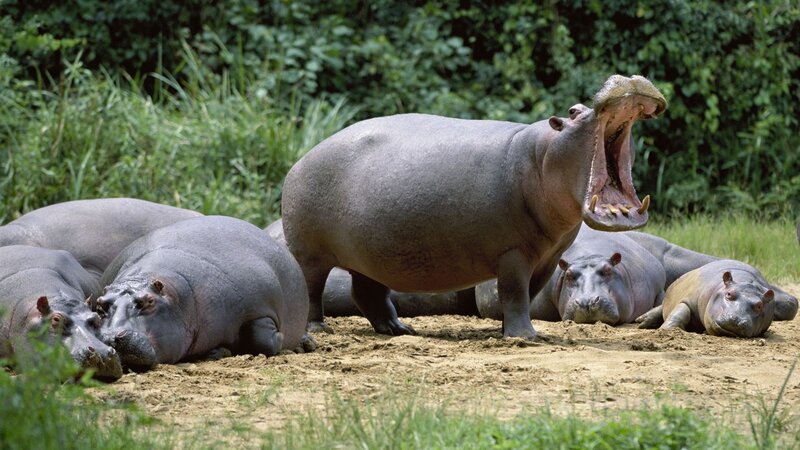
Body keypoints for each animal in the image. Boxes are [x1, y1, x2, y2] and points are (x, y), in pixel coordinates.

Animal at [98, 216, 311, 370]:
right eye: (100, 304)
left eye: (149, 301)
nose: (109, 337)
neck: (178, 296)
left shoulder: (260, 307)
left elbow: (262, 340)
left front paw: (282, 338)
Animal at [637, 260, 780, 337]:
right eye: (729, 294)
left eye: (759, 305)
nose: (736, 319)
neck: (745, 281)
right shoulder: (690, 298)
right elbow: (680, 311)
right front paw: (668, 330)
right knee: (660, 308)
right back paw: (641, 322)